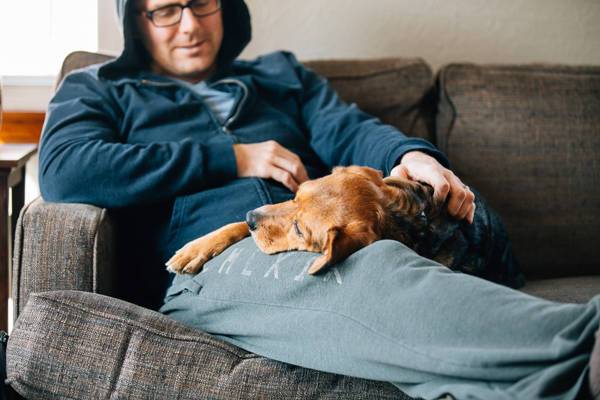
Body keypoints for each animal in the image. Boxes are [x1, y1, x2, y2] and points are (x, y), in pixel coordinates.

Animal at [165, 166, 524, 288]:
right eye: (295, 195)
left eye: (300, 230)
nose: (253, 216)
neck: (407, 218)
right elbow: (234, 225)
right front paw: (194, 250)